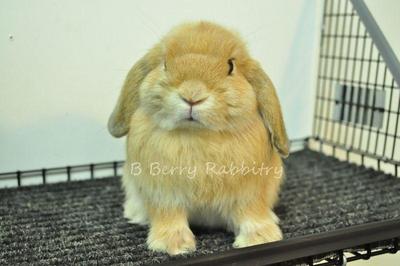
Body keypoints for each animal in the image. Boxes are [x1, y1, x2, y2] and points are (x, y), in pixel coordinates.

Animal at [108, 21, 290, 255]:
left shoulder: (249, 193)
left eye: (231, 66)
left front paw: (259, 238)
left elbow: (250, 213)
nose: (192, 95)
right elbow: (170, 215)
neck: (197, 134)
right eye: (164, 63)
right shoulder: (164, 194)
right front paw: (173, 244)